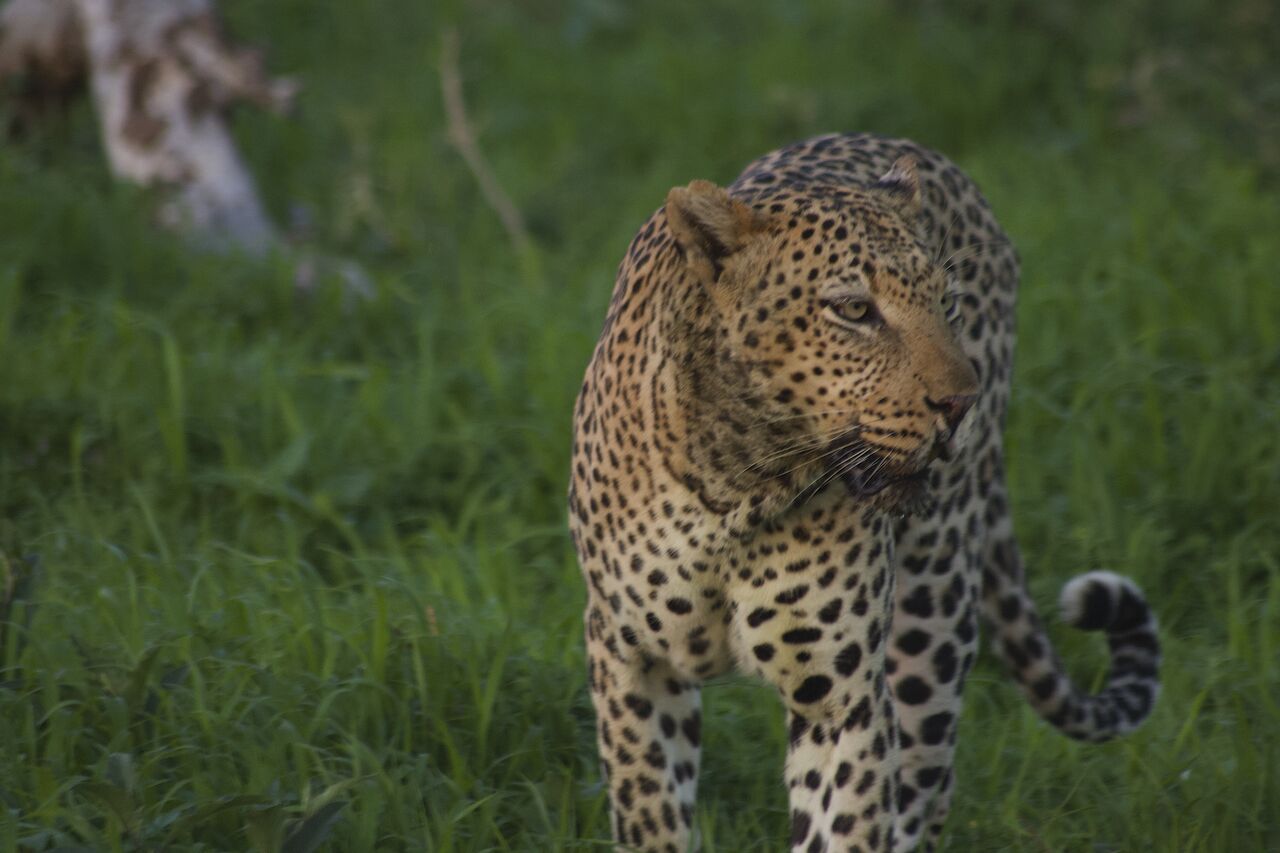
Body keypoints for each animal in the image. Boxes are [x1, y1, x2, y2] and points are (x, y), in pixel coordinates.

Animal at [567, 132, 1161, 852]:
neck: (736, 479)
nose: (961, 405)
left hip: (933, 600)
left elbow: (847, 823)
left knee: (927, 780)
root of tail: (915, 147)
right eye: (854, 310)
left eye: (945, 301)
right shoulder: (632, 661)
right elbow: (651, 818)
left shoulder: (840, 696)